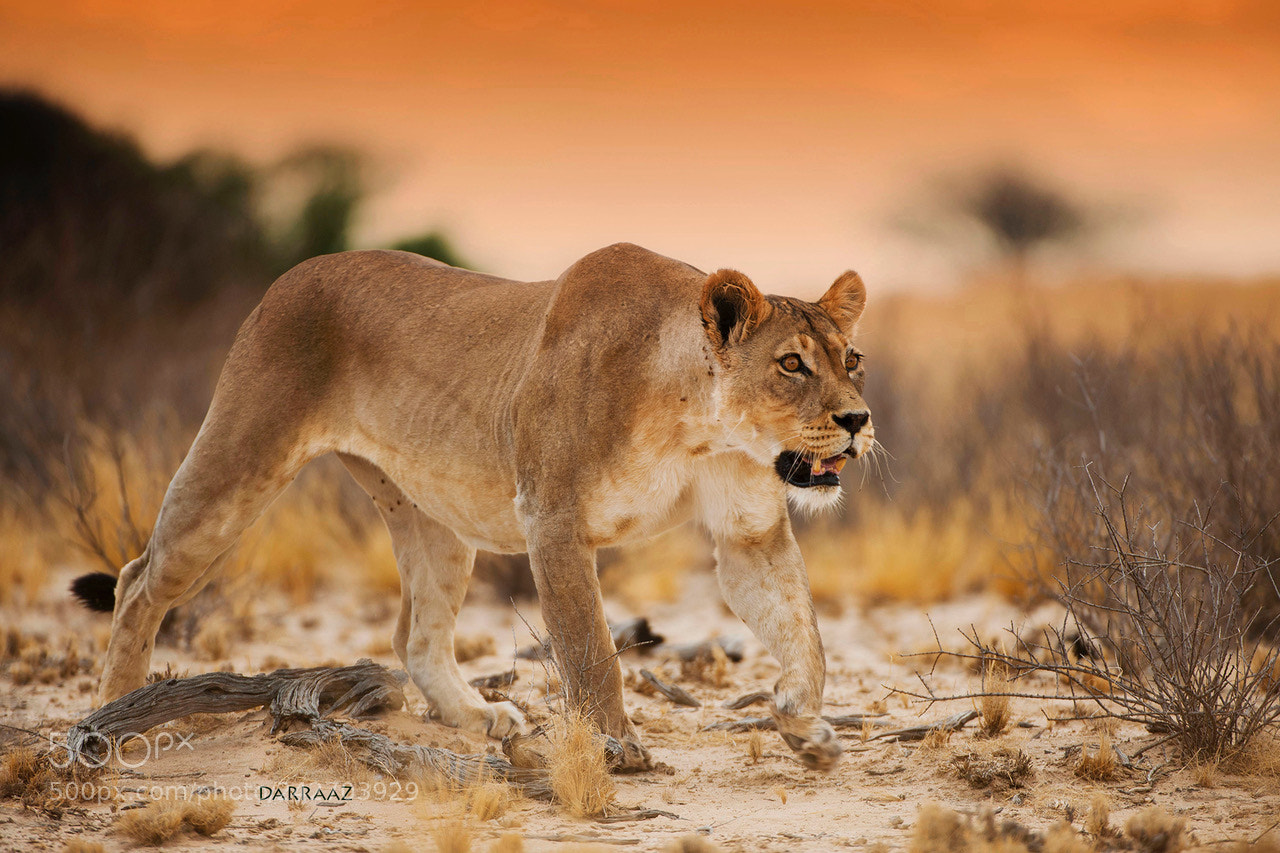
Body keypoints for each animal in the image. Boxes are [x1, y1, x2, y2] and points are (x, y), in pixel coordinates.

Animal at [71, 242, 874, 771]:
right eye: (791, 364)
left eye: (851, 360)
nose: (859, 419)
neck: (699, 426)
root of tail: (290, 274)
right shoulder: (552, 520)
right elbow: (592, 652)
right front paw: (619, 745)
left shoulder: (751, 531)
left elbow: (803, 632)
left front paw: (804, 725)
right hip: (238, 463)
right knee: (139, 580)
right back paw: (114, 719)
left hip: (435, 523)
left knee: (415, 638)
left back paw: (479, 716)